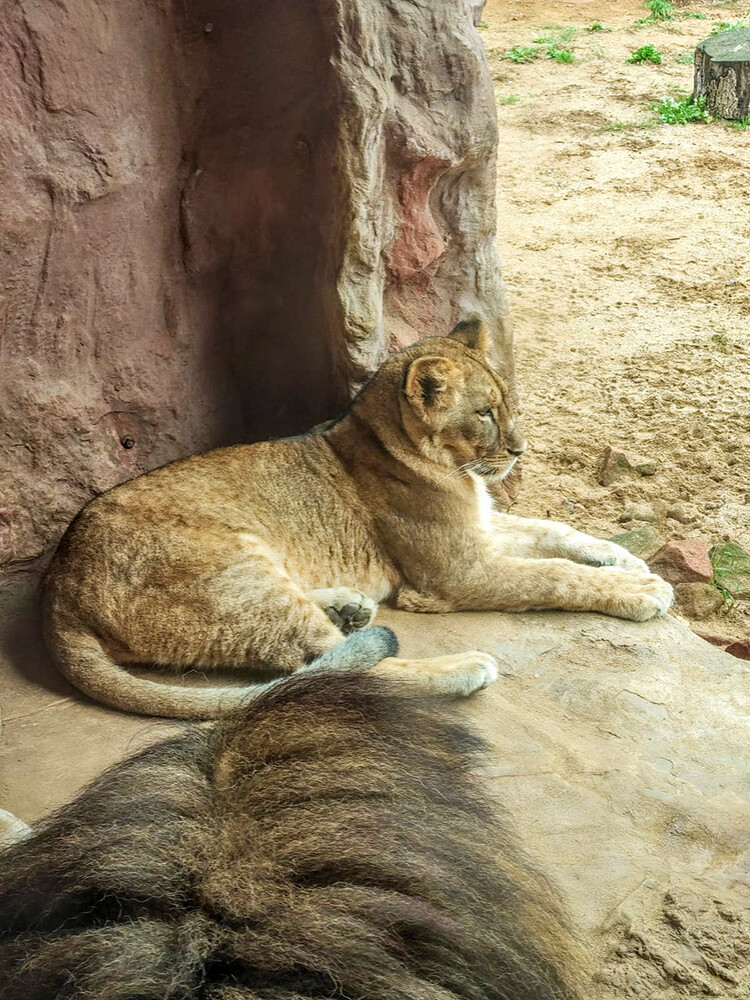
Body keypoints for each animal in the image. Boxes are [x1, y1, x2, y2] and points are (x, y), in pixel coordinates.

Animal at [42, 316, 676, 716]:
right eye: (486, 414)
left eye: (505, 406)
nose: (522, 451)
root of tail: (58, 591)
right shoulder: (455, 573)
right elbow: (552, 575)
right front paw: (640, 590)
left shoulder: (479, 529)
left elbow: (554, 531)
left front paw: (622, 558)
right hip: (233, 564)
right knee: (329, 671)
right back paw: (462, 668)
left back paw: (349, 608)